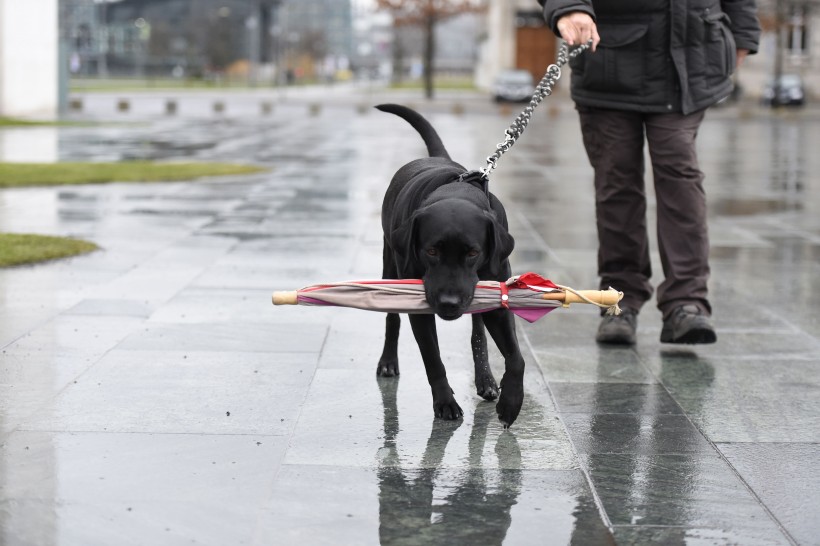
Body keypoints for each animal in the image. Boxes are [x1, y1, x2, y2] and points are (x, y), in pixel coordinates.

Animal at [376, 102, 524, 424]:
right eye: (431, 251)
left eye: (473, 252)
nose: (448, 302)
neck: (457, 191)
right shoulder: (419, 302)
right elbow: (433, 358)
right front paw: (444, 402)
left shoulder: (497, 293)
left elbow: (515, 356)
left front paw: (511, 401)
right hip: (390, 265)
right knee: (392, 318)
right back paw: (388, 361)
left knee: (478, 334)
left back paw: (485, 379)